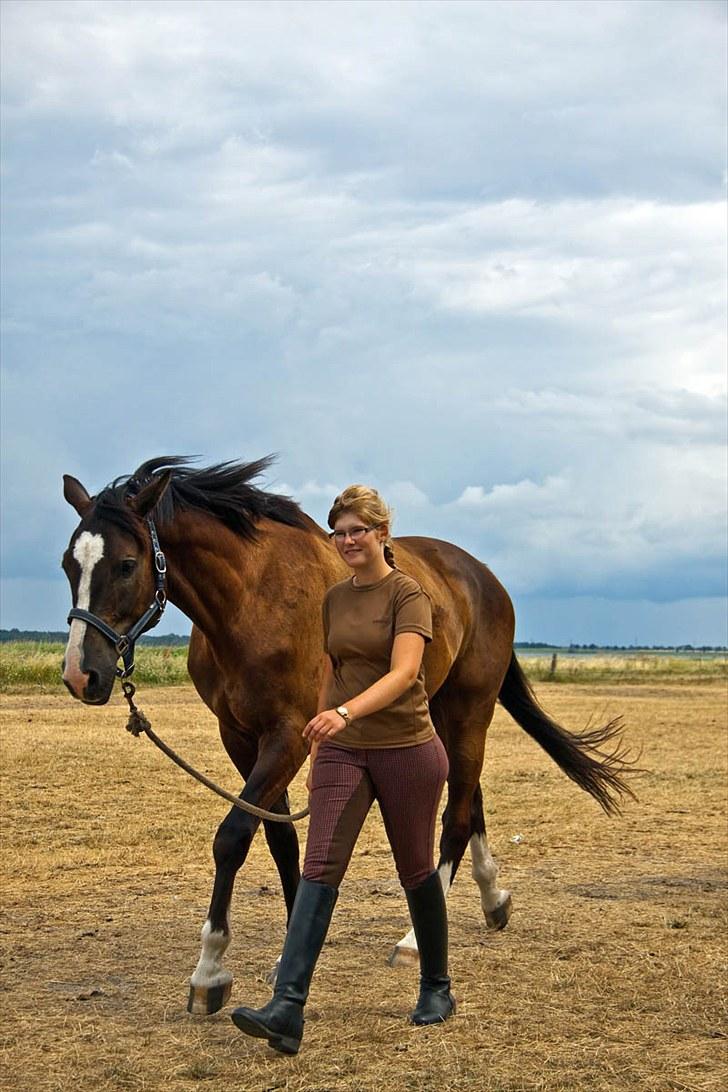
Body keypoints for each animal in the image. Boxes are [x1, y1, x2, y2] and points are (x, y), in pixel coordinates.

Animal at [61, 454, 633, 1013]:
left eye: (126, 564)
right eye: (70, 564)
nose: (81, 675)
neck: (253, 600)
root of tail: (484, 578)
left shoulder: (290, 735)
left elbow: (234, 836)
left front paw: (210, 971)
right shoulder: (241, 737)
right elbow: (280, 838)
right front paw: (286, 951)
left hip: (470, 711)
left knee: (456, 814)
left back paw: (414, 940)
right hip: (434, 711)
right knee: (470, 800)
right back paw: (494, 899)